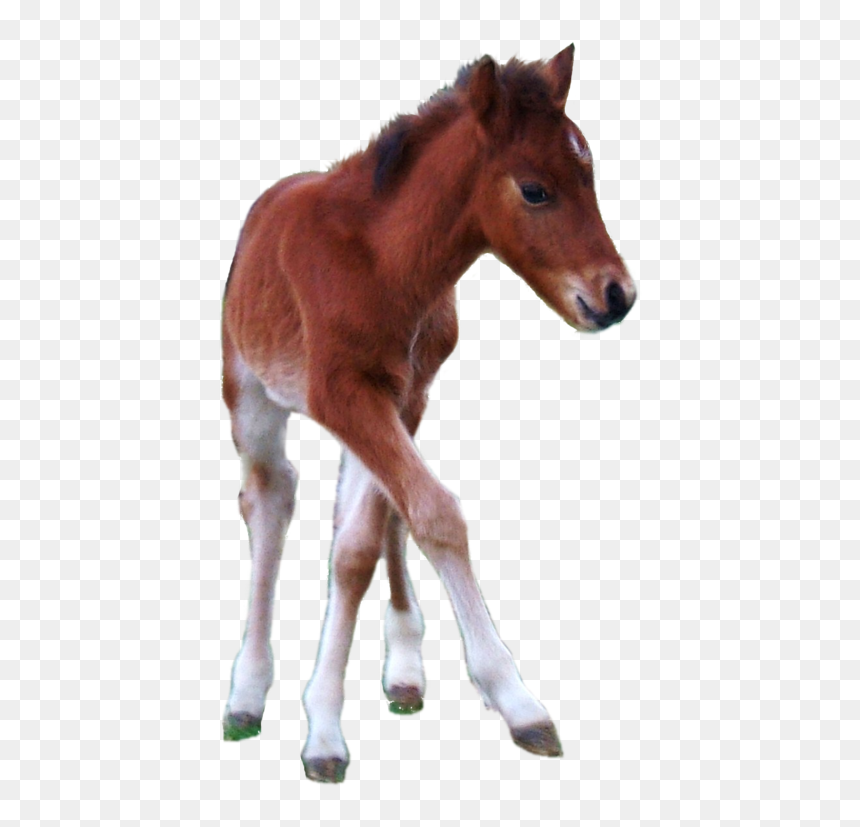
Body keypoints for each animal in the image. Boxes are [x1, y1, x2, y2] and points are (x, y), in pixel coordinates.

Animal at [221, 44, 636, 782]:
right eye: (535, 190)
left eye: (590, 173)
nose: (617, 296)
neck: (384, 260)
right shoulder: (342, 393)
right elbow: (432, 515)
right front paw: (513, 697)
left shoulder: (400, 394)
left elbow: (365, 541)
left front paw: (330, 716)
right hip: (252, 393)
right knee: (268, 499)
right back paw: (247, 690)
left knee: (364, 515)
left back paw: (404, 670)